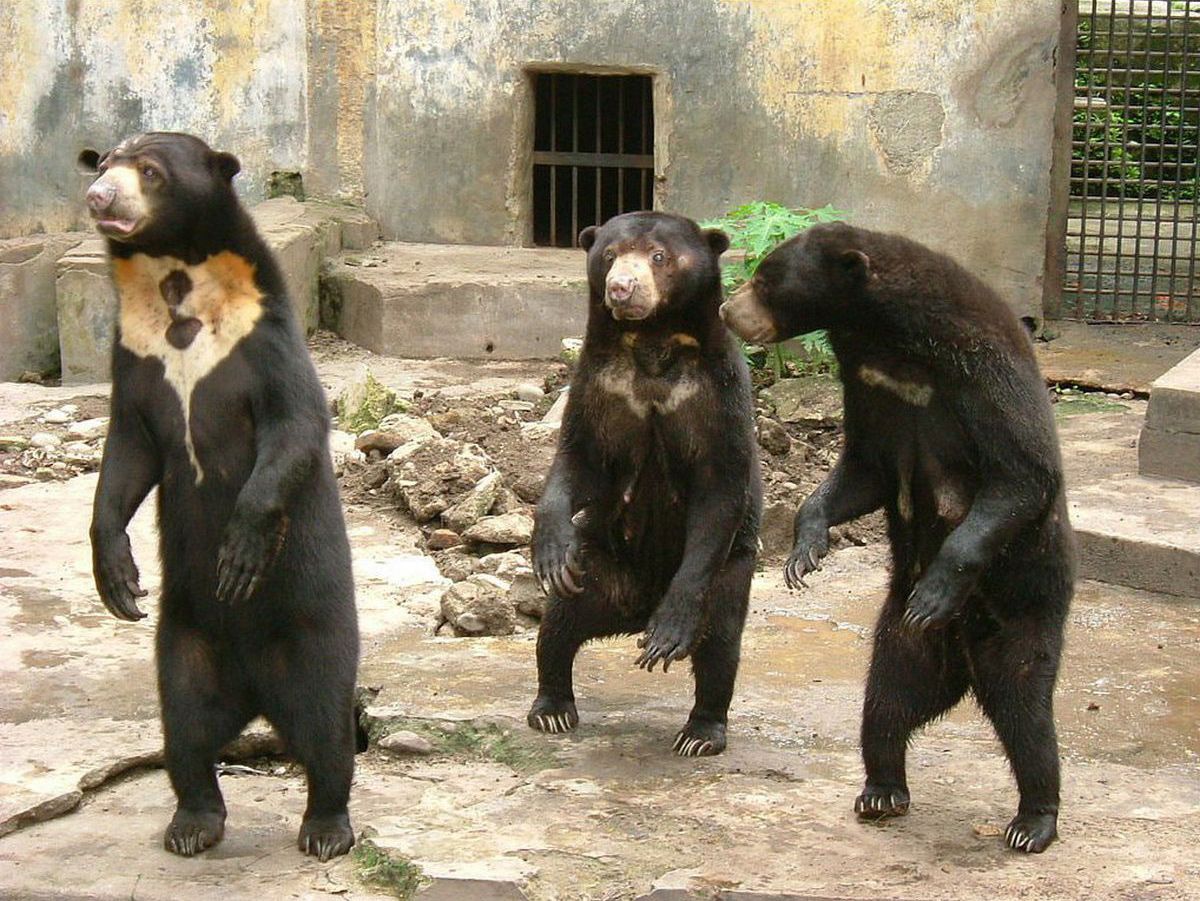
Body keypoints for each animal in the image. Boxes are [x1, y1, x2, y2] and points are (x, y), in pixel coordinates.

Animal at [79, 131, 357, 859]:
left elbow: (294, 426)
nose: (99, 197)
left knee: (328, 731)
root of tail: (256, 693)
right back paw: (192, 823)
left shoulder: (263, 337)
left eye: (149, 171)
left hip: (315, 632)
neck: (176, 282)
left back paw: (326, 829)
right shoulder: (135, 352)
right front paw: (118, 578)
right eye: (104, 162)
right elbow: (128, 452)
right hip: (186, 640)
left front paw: (237, 555)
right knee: (185, 730)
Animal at [530, 209, 763, 753]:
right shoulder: (600, 384)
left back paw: (700, 730)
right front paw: (549, 551)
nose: (621, 288)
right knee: (558, 625)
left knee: (721, 645)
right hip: (599, 563)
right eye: (610, 254)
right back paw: (551, 707)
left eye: (659, 256)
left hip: (731, 574)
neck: (653, 342)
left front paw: (668, 634)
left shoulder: (717, 394)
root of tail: (636, 606)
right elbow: (580, 459)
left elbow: (721, 489)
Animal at [715, 220, 1075, 854]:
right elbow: (866, 469)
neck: (891, 340)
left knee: (1027, 714)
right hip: (901, 646)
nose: (727, 310)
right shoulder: (869, 386)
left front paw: (936, 588)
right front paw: (803, 552)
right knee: (884, 705)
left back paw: (1032, 821)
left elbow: (1021, 473)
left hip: (1026, 612)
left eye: (765, 277)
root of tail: (963, 667)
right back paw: (882, 790)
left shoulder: (981, 369)